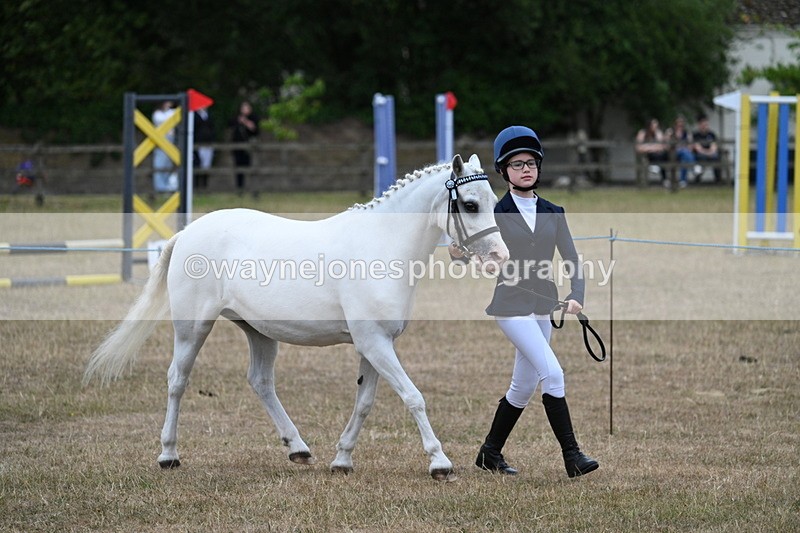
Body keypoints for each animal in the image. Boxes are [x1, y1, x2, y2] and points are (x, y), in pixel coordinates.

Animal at [84, 154, 508, 481]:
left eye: (493, 200)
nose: (499, 257)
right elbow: (413, 396)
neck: (381, 247)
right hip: (192, 328)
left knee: (260, 382)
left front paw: (342, 459)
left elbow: (365, 403)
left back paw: (298, 448)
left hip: (258, 332)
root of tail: (188, 233)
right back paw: (169, 455)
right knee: (177, 380)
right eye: (470, 204)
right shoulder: (375, 343)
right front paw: (439, 462)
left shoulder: (375, 344)